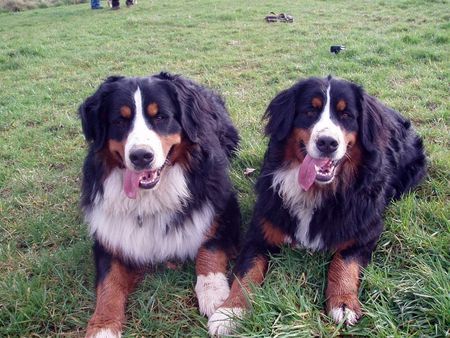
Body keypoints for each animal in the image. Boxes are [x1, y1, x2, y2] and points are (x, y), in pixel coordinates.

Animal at [80, 72, 243, 336]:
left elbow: (209, 247)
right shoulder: (108, 234)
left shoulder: (223, 209)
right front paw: (103, 327)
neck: (150, 197)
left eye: (160, 117)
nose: (141, 156)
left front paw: (214, 293)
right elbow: (109, 283)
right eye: (119, 120)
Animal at [207, 75, 426, 334]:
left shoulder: (365, 231)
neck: (316, 191)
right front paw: (229, 311)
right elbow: (246, 273)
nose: (327, 142)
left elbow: (344, 263)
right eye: (309, 111)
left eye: (346, 115)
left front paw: (343, 302)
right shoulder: (258, 233)